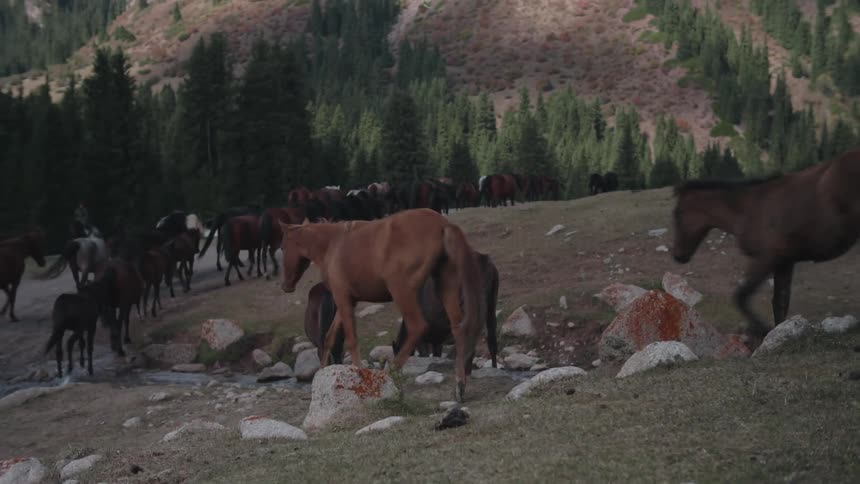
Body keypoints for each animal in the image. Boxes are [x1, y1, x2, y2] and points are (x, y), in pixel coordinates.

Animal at [278, 208, 488, 402]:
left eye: (283, 246)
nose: (285, 285)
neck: (332, 245)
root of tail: (443, 224)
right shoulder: (347, 300)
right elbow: (330, 337)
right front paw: (322, 371)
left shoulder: (343, 298)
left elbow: (351, 340)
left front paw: (360, 377)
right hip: (445, 284)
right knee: (459, 328)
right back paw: (460, 385)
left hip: (402, 291)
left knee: (418, 326)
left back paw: (390, 375)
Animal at [671, 147, 860, 346]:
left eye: (678, 214)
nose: (678, 255)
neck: (748, 209)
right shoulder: (784, 262)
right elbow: (780, 302)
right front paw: (780, 334)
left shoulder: (767, 259)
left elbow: (741, 297)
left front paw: (763, 330)